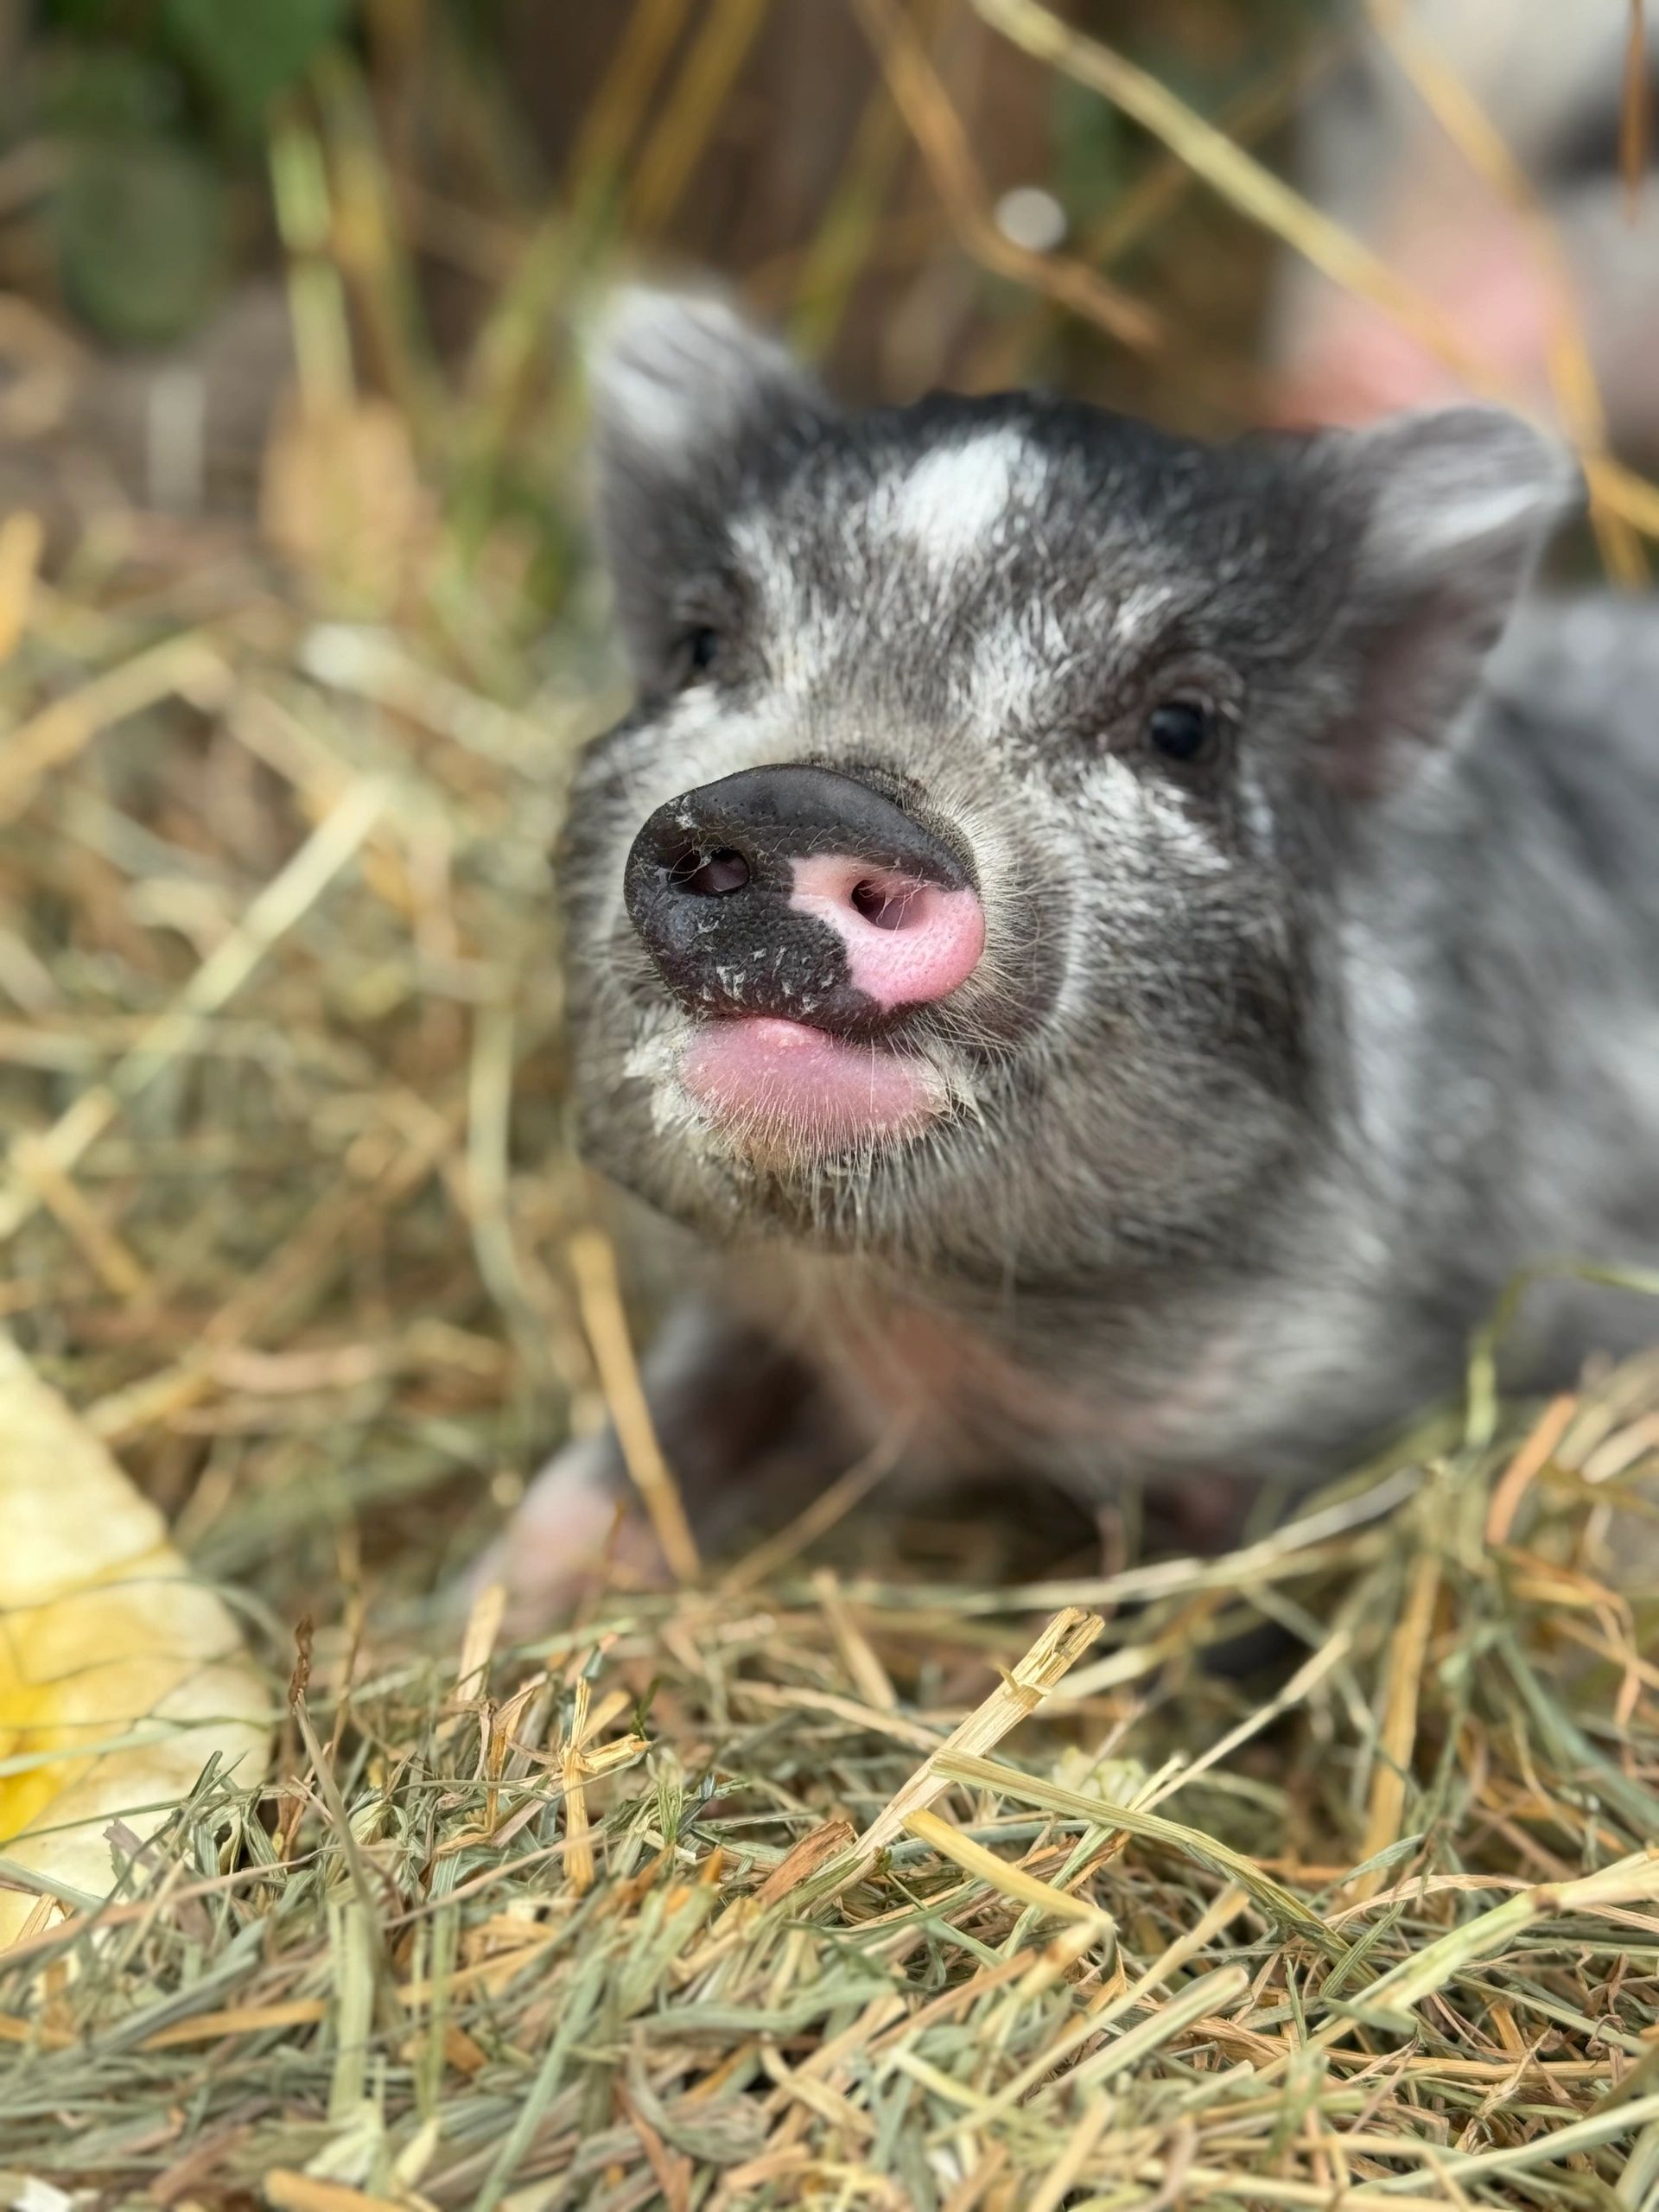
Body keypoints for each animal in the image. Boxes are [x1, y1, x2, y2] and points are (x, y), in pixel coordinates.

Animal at [485, 289, 1659, 1607]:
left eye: (1184, 728)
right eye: (700, 649)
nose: (803, 796)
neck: (940, 1339)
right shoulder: (752, 1313)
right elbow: (642, 1444)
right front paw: (486, 1598)